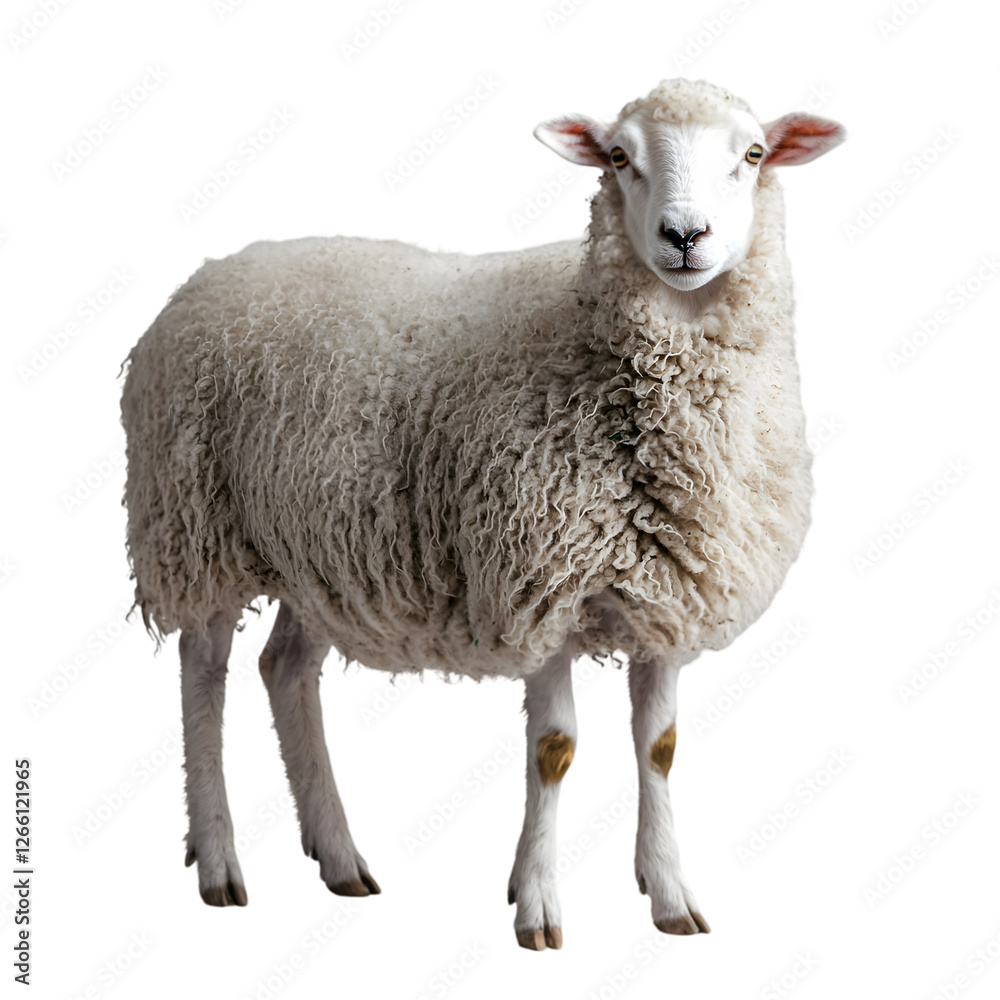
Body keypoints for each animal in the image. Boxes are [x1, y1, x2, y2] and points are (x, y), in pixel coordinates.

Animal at [120, 77, 844, 949]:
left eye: (753, 154)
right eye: (619, 157)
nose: (684, 235)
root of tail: (207, 274)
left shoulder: (667, 592)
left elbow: (661, 748)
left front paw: (669, 895)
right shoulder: (540, 582)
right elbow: (556, 750)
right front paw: (537, 907)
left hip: (319, 551)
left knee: (285, 669)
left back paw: (338, 855)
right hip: (195, 527)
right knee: (204, 671)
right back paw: (220, 859)